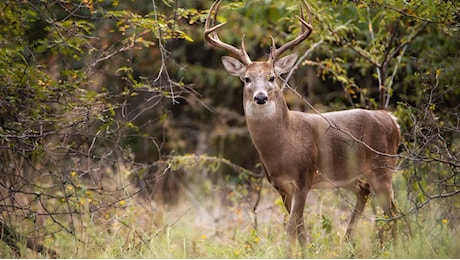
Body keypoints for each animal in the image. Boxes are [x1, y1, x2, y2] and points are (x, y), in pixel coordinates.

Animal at [204, 0, 398, 254]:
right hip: (351, 176)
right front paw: (306, 252)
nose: (260, 97)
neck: (285, 145)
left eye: (272, 77)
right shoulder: (280, 185)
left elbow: (291, 229)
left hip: (382, 167)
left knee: (393, 213)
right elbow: (300, 229)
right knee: (369, 196)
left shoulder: (304, 177)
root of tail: (392, 119)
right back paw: (349, 242)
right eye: (246, 79)